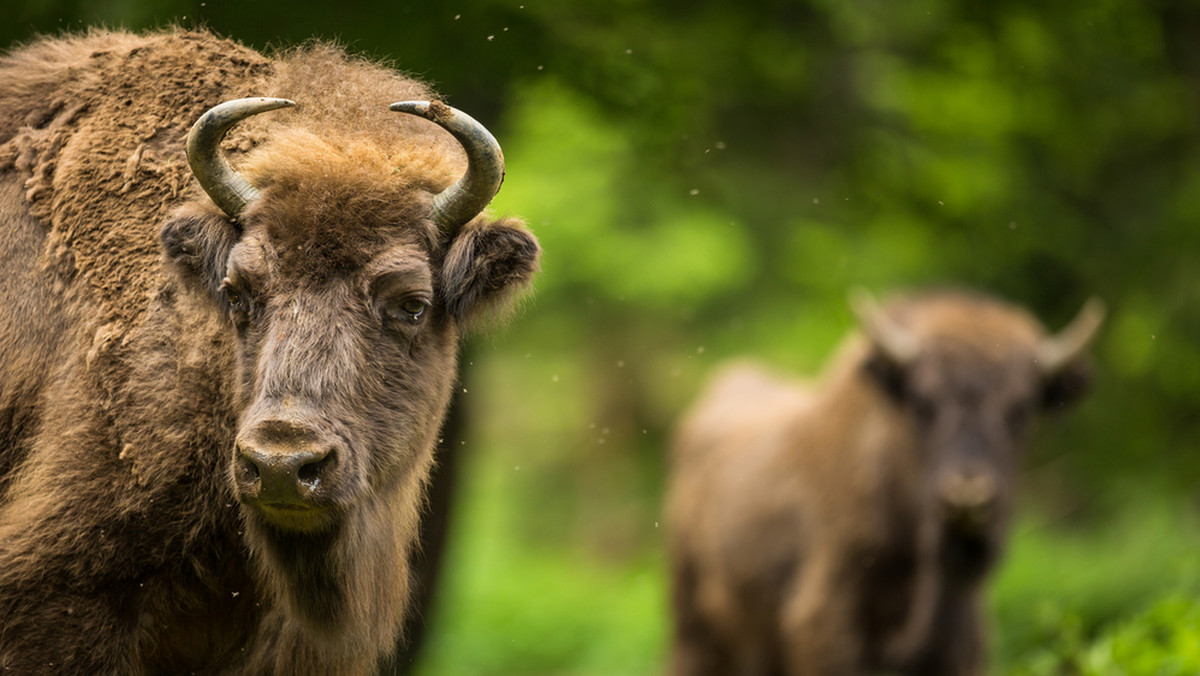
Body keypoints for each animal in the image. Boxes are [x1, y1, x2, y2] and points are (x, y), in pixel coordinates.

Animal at [667, 290, 1104, 676]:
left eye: (1022, 407)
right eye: (924, 402)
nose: (967, 496)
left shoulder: (963, 644)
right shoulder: (826, 625)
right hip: (696, 630)